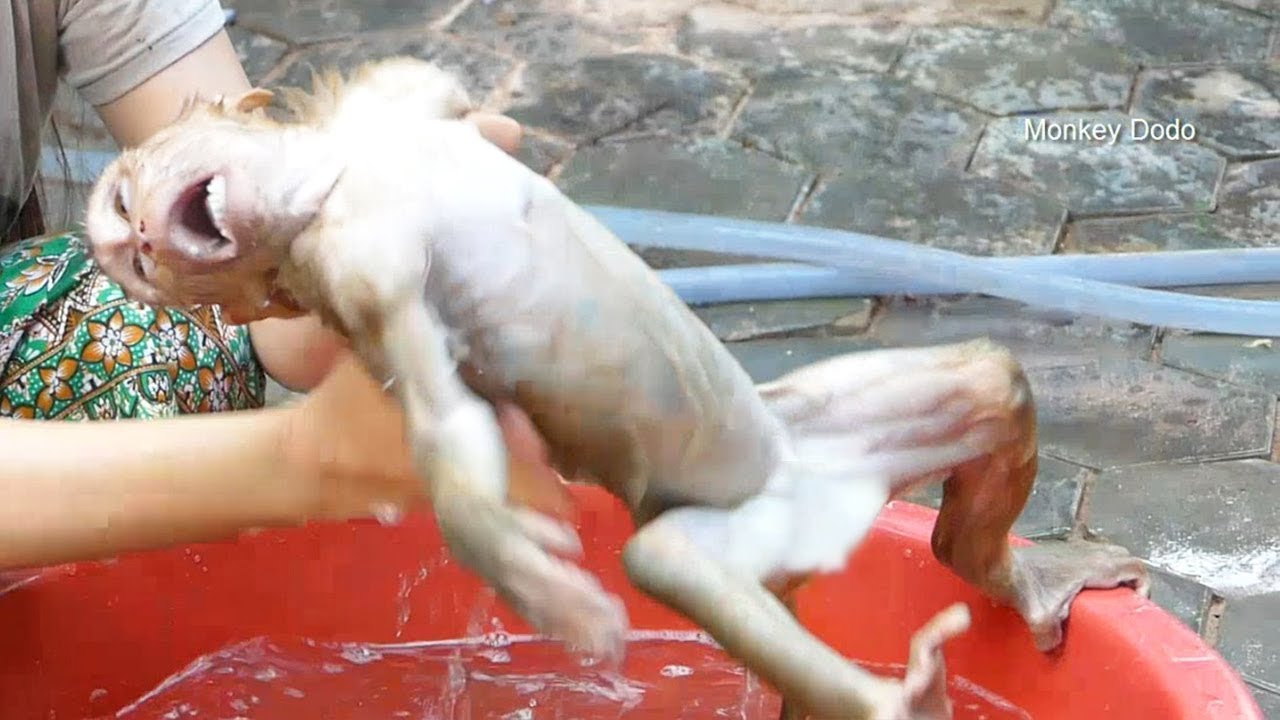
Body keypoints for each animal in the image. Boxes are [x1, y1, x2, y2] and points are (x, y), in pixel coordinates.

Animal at [84, 57, 1148, 720]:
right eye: (132, 262)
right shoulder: (360, 269)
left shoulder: (400, 95)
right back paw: (896, 695)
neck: (337, 177)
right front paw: (518, 561)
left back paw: (1013, 575)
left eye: (125, 205)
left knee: (990, 383)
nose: (134, 244)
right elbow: (449, 427)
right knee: (669, 559)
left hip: (824, 442)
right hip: (741, 527)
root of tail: (813, 528)